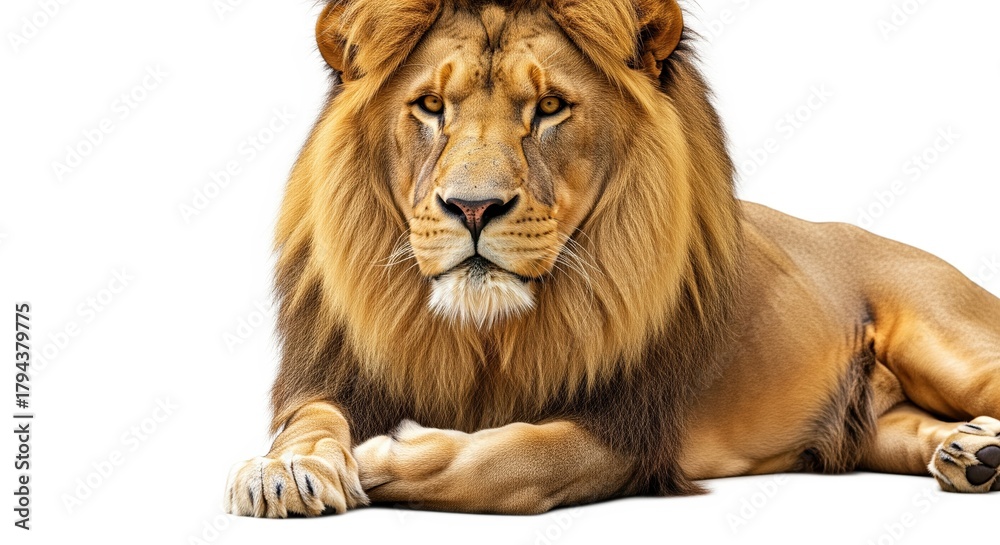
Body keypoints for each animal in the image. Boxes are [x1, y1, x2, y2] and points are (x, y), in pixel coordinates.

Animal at [224, 0, 1000, 517]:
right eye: (431, 106)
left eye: (549, 107)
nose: (473, 208)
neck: (486, 333)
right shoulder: (333, 374)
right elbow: (312, 419)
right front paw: (286, 469)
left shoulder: (631, 433)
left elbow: (510, 464)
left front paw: (385, 453)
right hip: (875, 430)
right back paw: (970, 455)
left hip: (947, 342)